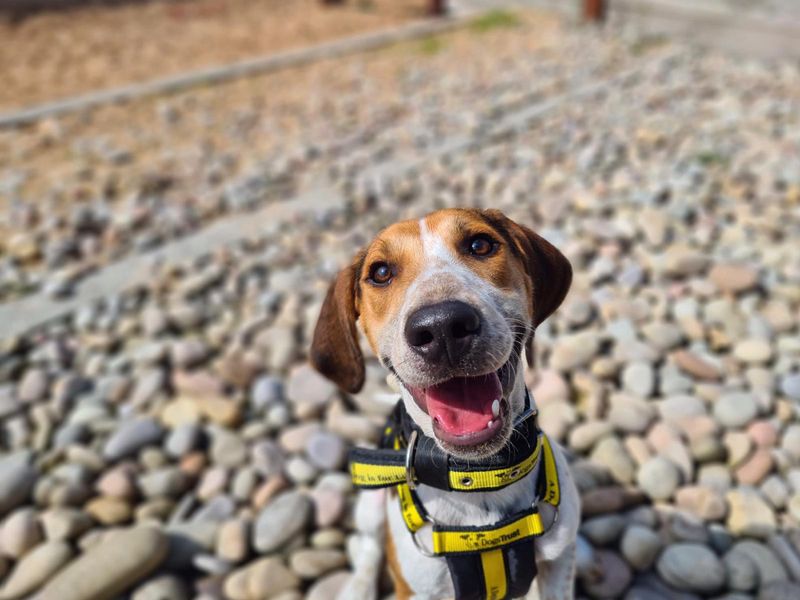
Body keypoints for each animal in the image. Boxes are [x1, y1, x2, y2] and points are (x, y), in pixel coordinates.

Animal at [310, 207, 580, 600]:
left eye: (480, 245)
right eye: (380, 272)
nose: (441, 327)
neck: (479, 477)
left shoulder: (559, 561)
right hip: (371, 504)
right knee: (370, 546)